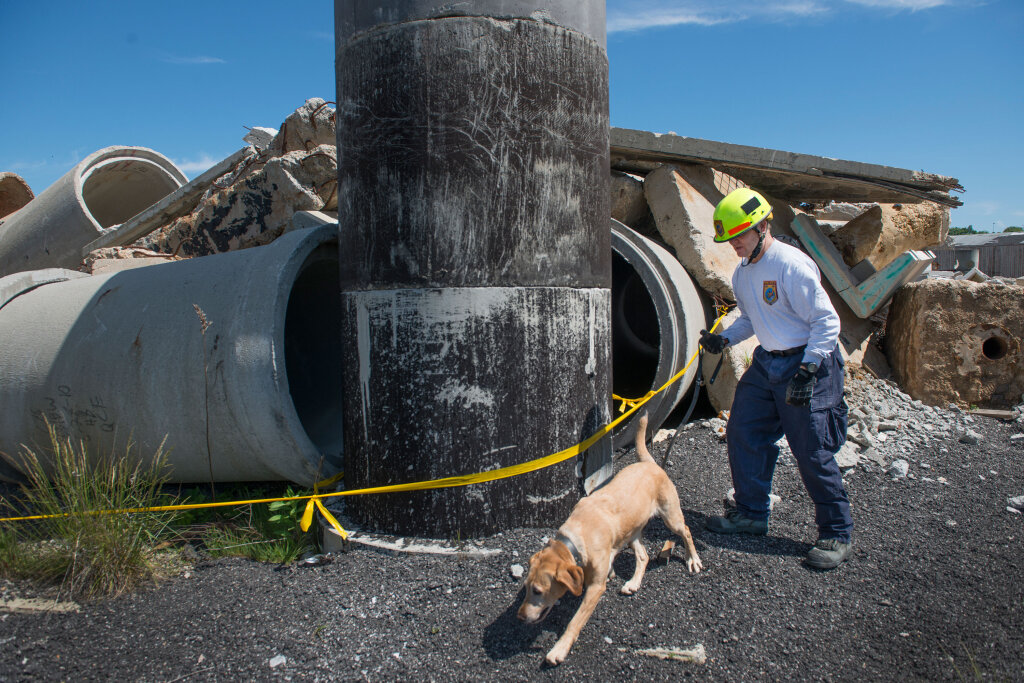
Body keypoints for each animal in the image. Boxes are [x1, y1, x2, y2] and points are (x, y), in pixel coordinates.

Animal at [516, 413, 700, 663]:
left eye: (537, 591)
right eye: (525, 587)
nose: (519, 617)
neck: (575, 541)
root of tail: (650, 464)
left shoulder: (595, 588)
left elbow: (575, 621)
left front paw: (559, 649)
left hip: (671, 516)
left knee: (687, 531)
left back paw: (694, 560)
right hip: (632, 531)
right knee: (643, 556)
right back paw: (633, 582)